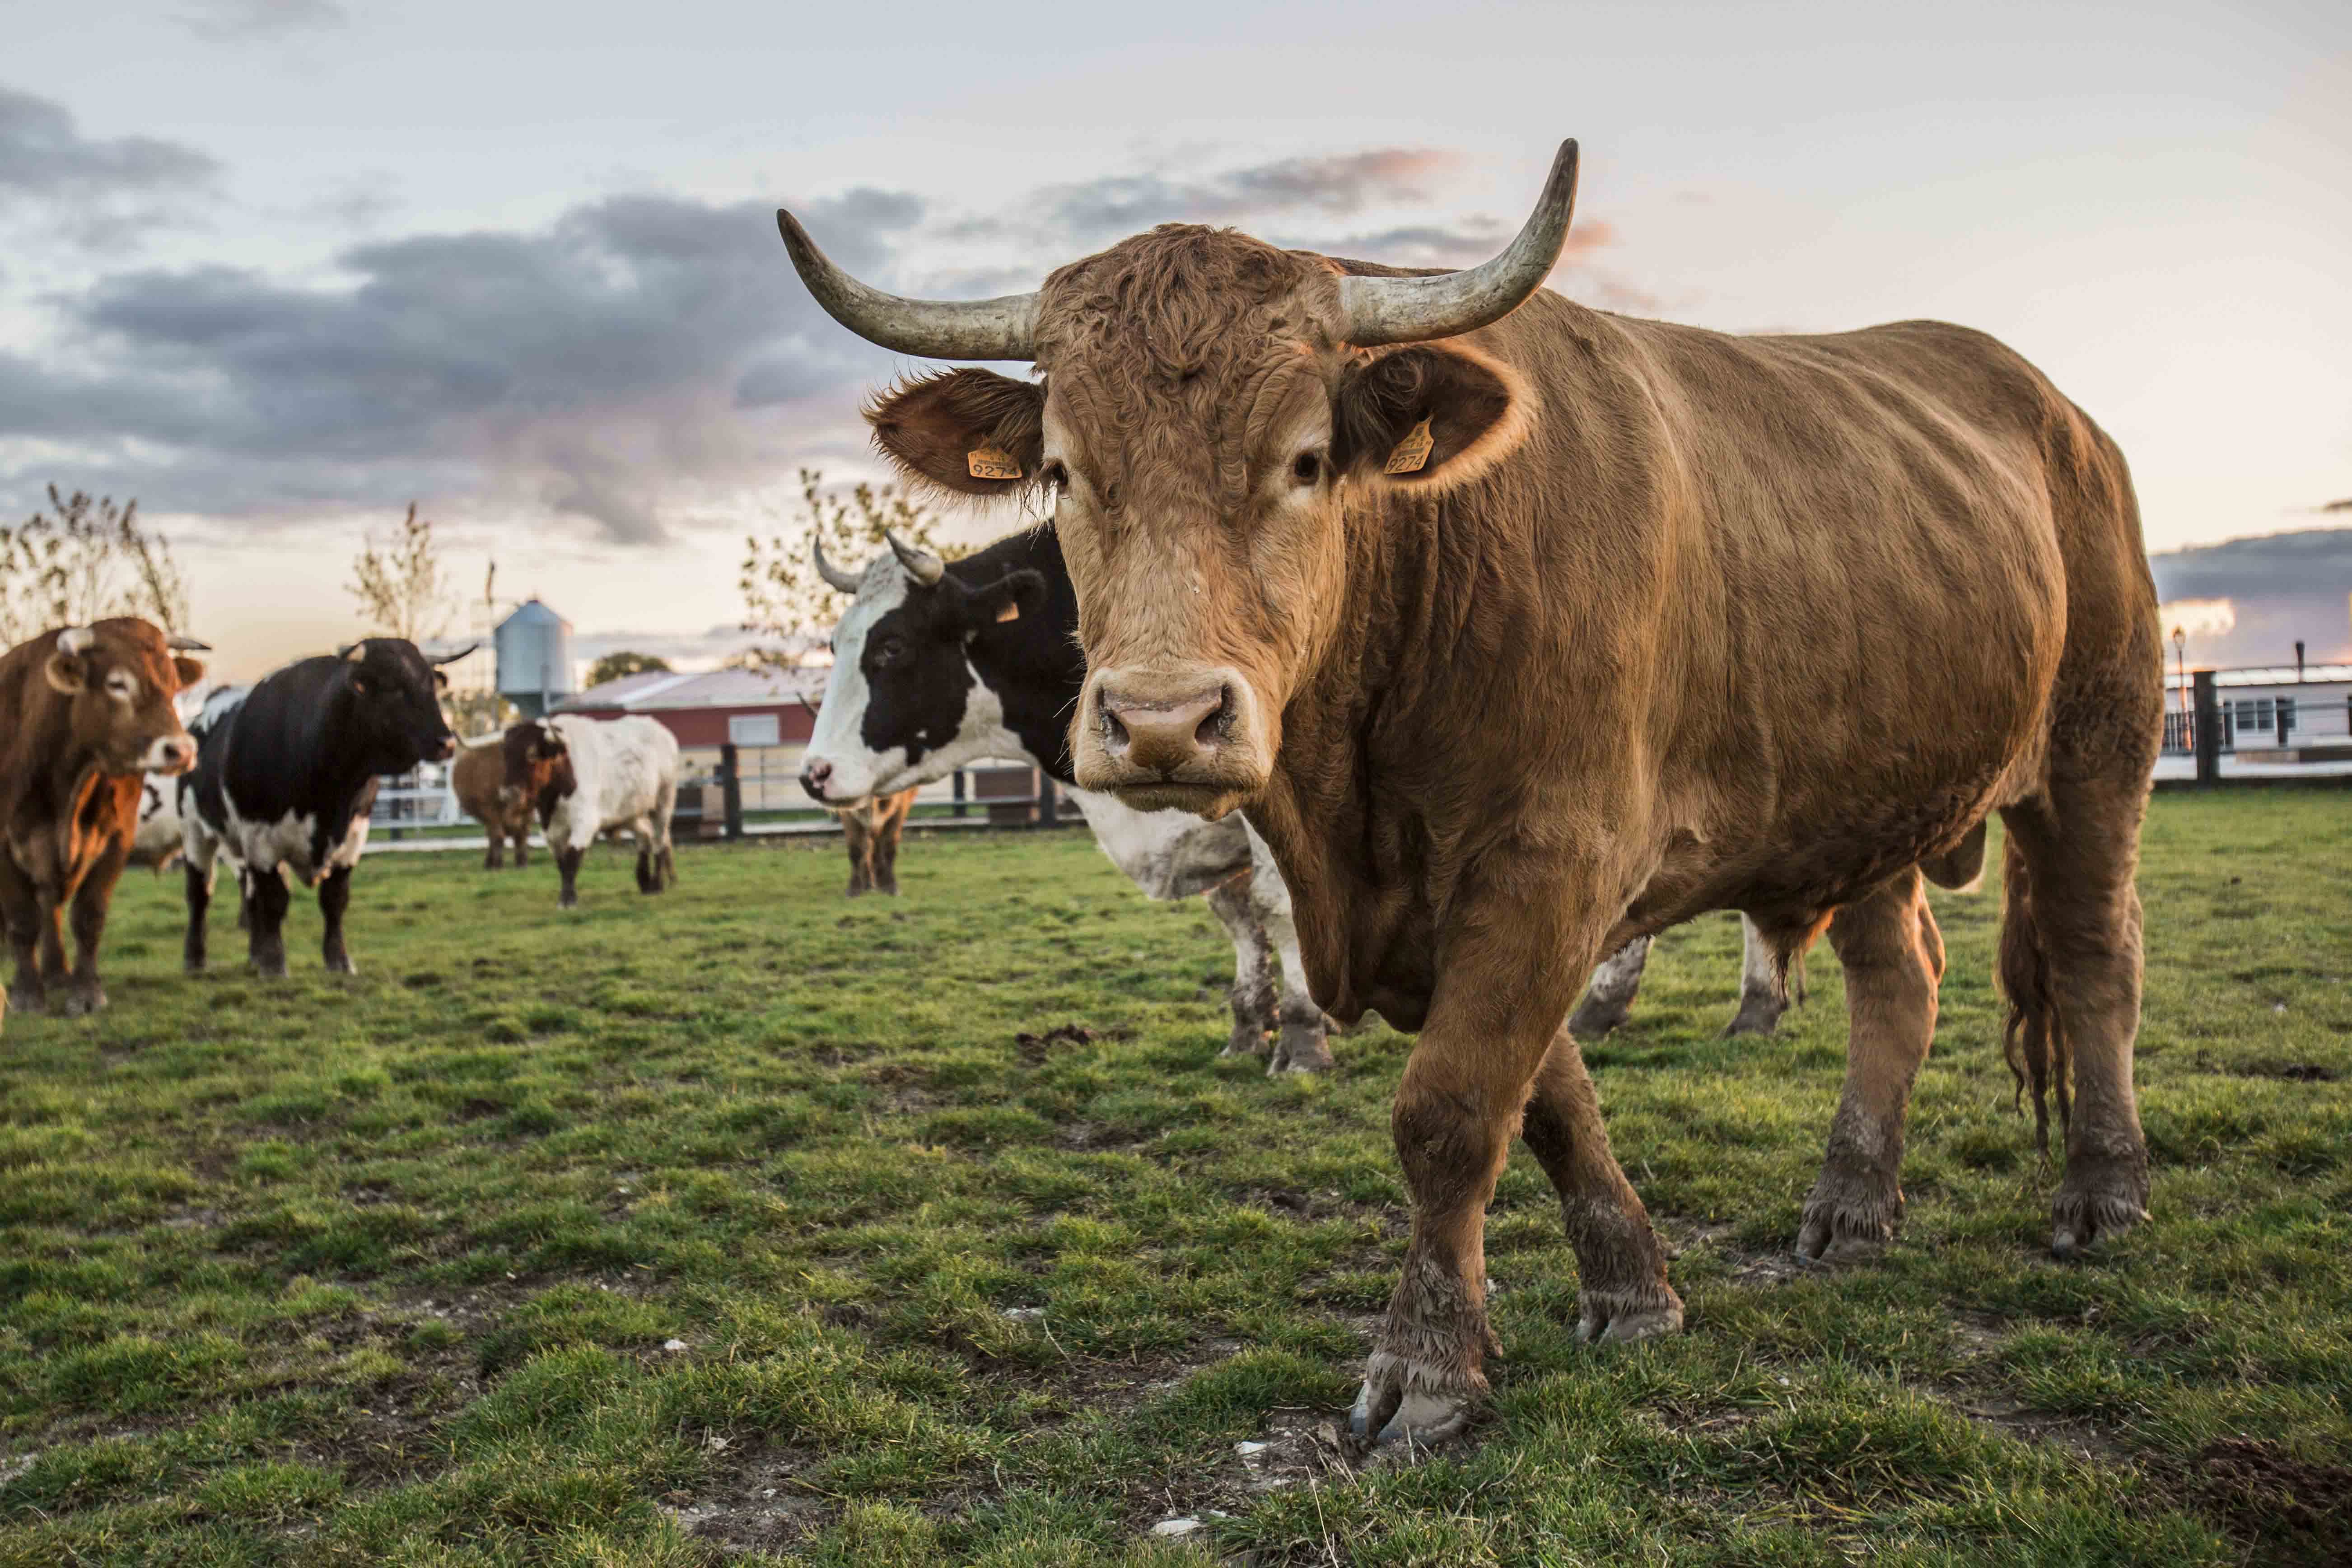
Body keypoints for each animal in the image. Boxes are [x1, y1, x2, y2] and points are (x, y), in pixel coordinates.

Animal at [2, 621, 208, 1025]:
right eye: (117, 684)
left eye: (174, 683)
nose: (181, 751)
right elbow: (22, 919)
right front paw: (26, 995)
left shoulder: (117, 838)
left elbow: (89, 915)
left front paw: (86, 994)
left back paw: (57, 974)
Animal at [183, 639, 463, 982]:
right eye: (394, 688)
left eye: (430, 686)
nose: (447, 743)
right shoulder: (260, 838)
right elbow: (275, 900)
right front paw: (275, 965)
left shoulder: (353, 837)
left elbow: (334, 900)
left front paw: (338, 960)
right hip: (195, 830)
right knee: (200, 893)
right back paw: (196, 958)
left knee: (250, 897)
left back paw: (254, 956)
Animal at [444, 738, 529, 869]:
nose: (517, 794)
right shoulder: (488, 810)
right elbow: (497, 836)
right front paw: (497, 864)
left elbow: (521, 835)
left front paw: (522, 862)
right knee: (494, 835)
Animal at [799, 527, 1336, 1081]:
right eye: (835, 644)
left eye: (892, 645)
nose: (815, 773)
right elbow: (1236, 912)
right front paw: (1248, 1031)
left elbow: (1276, 904)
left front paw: (1303, 1043)